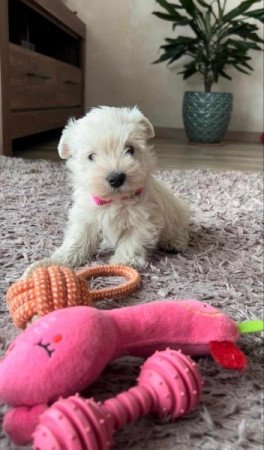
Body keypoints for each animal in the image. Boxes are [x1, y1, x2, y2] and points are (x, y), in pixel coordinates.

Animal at [23, 106, 191, 274]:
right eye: (91, 156)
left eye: (130, 149)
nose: (116, 178)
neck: (114, 201)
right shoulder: (86, 217)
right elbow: (77, 239)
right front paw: (57, 260)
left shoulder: (144, 219)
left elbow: (133, 240)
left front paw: (124, 262)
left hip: (179, 214)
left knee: (181, 230)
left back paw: (175, 242)